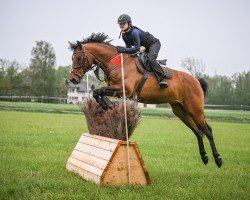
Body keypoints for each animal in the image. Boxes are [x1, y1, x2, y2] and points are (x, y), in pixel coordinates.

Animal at [68, 32, 223, 167]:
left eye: (79, 58)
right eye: (72, 58)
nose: (73, 79)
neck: (117, 64)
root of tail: (196, 81)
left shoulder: (125, 90)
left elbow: (99, 91)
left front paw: (108, 104)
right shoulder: (117, 89)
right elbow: (97, 92)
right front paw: (107, 105)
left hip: (195, 109)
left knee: (207, 130)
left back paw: (217, 159)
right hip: (180, 110)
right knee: (197, 131)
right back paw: (204, 157)